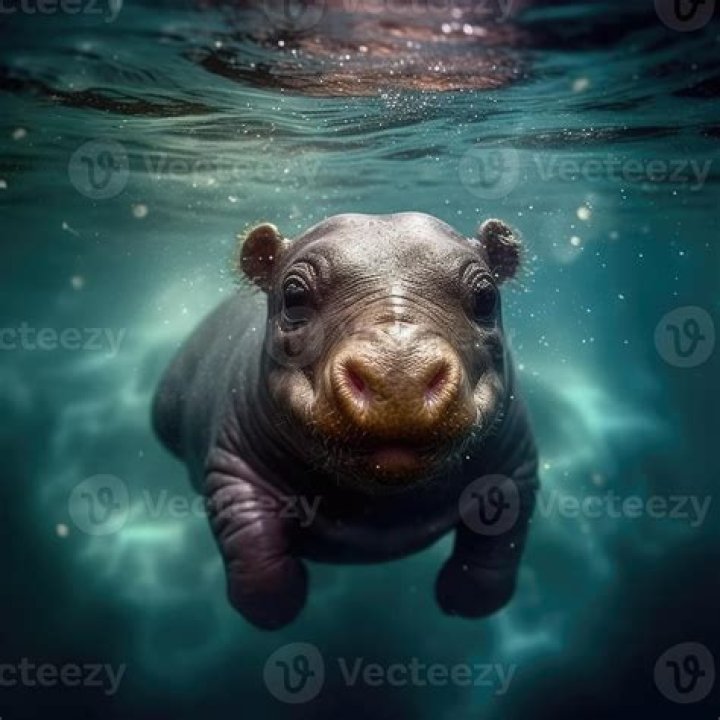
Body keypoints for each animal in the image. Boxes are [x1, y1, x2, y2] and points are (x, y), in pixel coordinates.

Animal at [152, 212, 539, 629]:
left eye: (486, 296)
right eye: (293, 295)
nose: (398, 373)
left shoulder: (516, 463)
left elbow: (498, 547)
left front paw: (459, 597)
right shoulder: (232, 465)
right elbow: (253, 550)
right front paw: (280, 599)